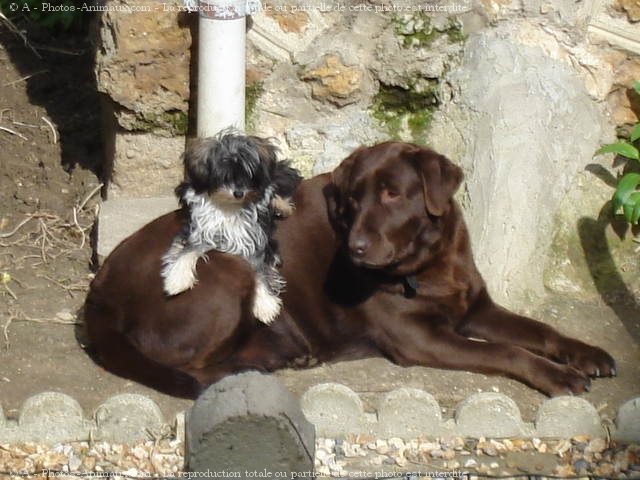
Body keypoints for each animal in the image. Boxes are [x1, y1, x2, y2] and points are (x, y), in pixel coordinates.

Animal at [159, 133, 302, 324]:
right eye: (223, 175)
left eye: (249, 174)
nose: (239, 193)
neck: (228, 207)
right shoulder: (199, 229)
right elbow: (188, 249)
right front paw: (176, 278)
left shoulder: (257, 240)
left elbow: (260, 269)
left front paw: (265, 304)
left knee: (274, 187)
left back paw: (282, 206)